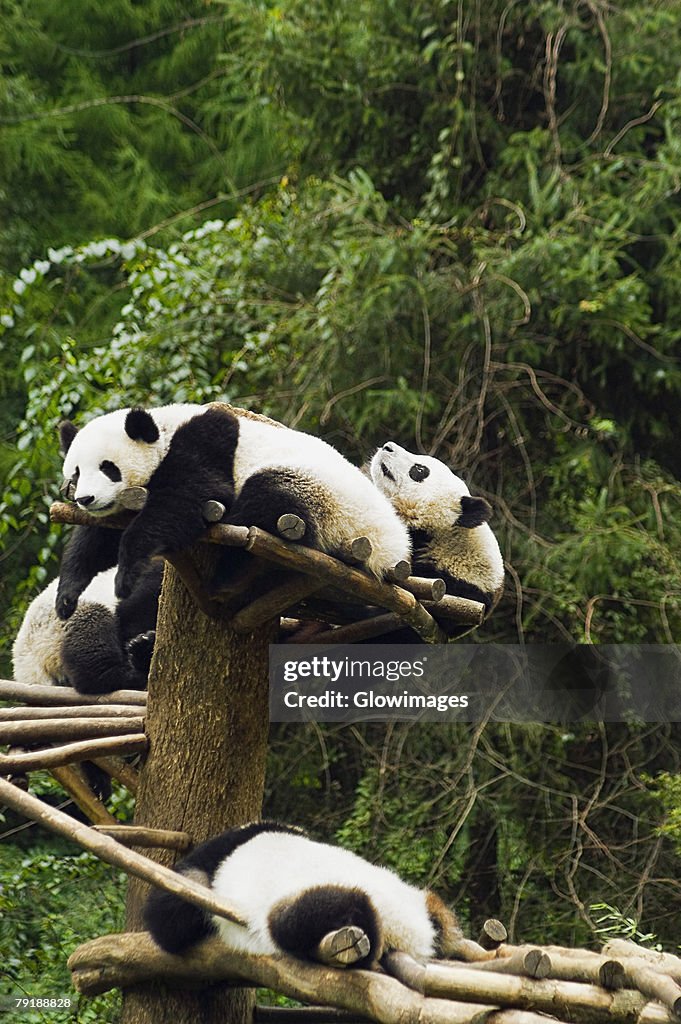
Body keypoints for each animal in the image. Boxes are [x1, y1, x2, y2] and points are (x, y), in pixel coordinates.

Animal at [55, 399, 409, 610]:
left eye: (108, 468)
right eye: (76, 472)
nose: (86, 499)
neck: (164, 428)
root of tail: (392, 548)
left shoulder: (205, 443)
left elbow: (188, 498)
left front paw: (126, 576)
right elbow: (96, 537)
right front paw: (68, 595)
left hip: (325, 498)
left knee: (265, 499)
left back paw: (226, 575)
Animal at [144, 823, 489, 966]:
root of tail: (410, 932)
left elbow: (169, 921)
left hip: (295, 907)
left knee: (308, 915)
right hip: (418, 899)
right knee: (439, 913)